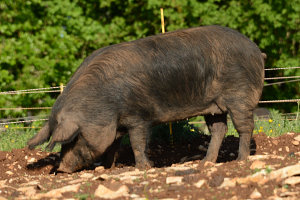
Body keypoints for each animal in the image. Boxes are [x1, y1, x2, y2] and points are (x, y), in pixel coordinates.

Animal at [27, 24, 264, 172]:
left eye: (75, 138)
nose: (62, 169)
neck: (104, 103)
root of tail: (256, 49)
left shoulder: (138, 116)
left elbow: (137, 142)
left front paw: (143, 167)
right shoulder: (116, 124)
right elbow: (112, 145)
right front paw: (107, 167)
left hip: (240, 95)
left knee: (244, 127)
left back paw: (240, 160)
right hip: (213, 106)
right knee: (219, 129)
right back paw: (206, 162)